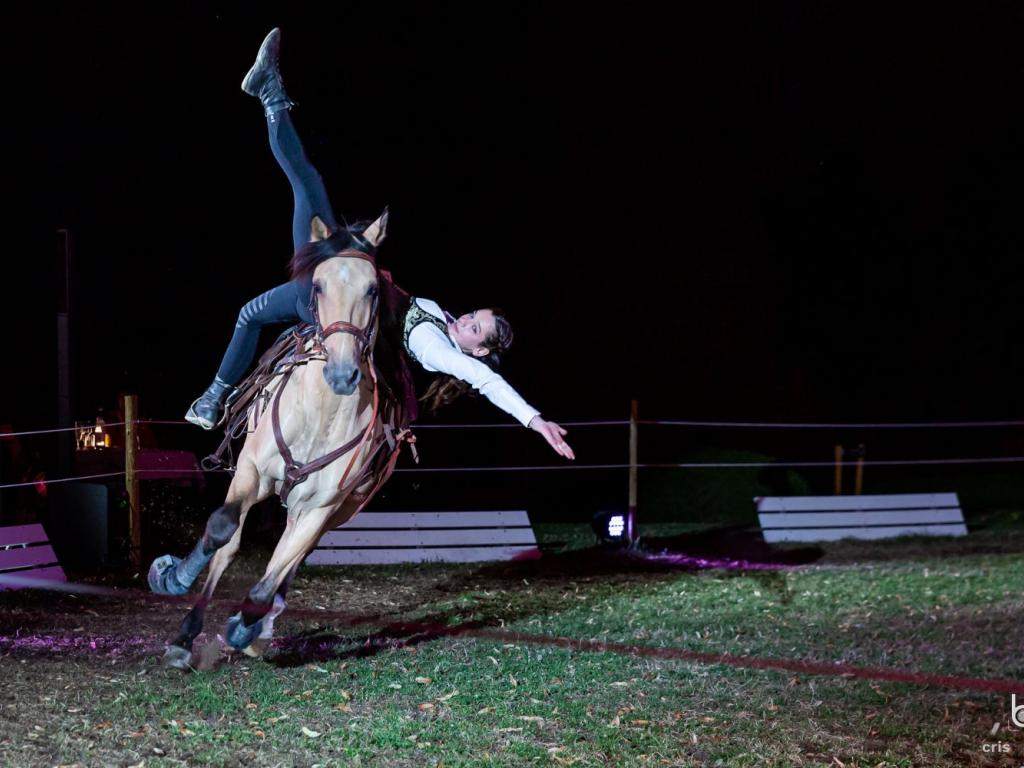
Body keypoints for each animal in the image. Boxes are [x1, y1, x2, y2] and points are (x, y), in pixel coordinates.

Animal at [148, 214, 411, 671]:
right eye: (318, 286)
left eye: (372, 289)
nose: (341, 374)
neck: (321, 414)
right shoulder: (251, 472)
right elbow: (222, 532)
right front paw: (174, 581)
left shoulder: (322, 506)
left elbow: (276, 570)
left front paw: (245, 626)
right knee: (230, 545)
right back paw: (193, 625)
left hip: (332, 511)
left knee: (289, 559)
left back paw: (256, 629)